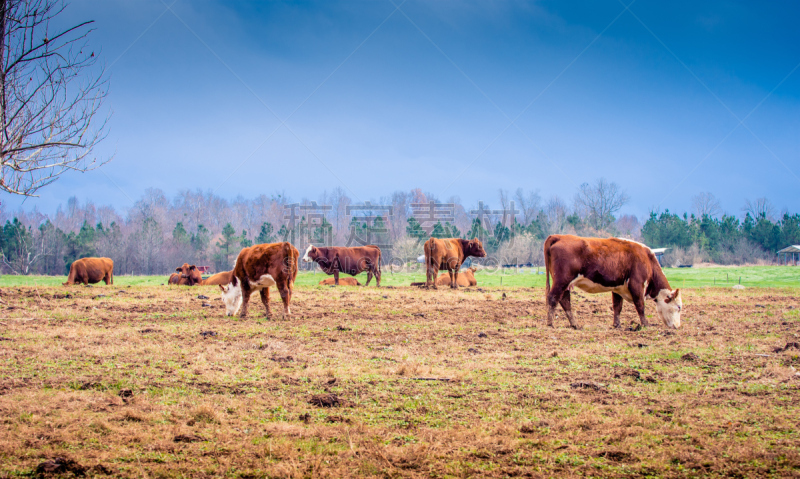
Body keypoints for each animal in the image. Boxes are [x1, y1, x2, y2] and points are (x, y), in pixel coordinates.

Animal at [548, 235, 684, 332]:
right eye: (679, 307)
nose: (678, 326)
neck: (647, 258)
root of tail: (559, 236)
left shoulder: (618, 288)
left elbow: (617, 306)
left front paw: (617, 325)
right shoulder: (636, 284)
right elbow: (640, 305)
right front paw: (645, 325)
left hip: (566, 285)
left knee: (565, 301)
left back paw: (575, 324)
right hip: (561, 281)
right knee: (553, 298)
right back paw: (550, 324)